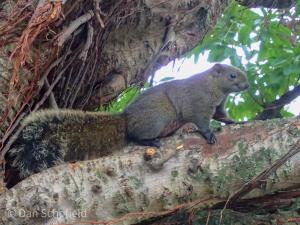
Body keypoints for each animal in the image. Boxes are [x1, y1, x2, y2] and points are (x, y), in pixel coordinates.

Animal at [4, 63, 248, 188]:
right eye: (232, 75)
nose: (246, 85)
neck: (213, 86)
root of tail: (126, 119)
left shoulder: (218, 105)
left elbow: (222, 115)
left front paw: (233, 121)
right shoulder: (197, 103)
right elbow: (201, 120)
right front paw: (208, 134)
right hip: (157, 119)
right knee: (135, 136)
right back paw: (151, 141)